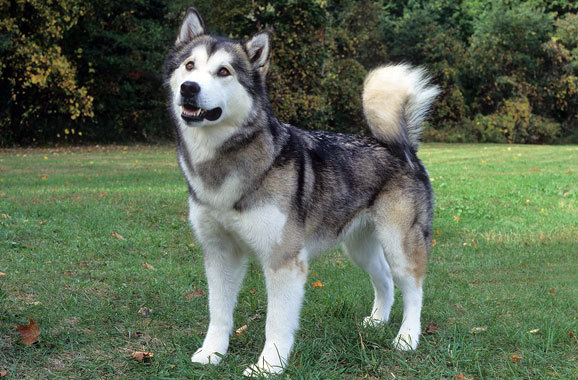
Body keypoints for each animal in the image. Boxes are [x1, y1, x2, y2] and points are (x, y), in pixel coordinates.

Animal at [162, 7, 436, 376]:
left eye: (223, 71)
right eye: (190, 66)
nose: (189, 88)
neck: (225, 163)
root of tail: (401, 147)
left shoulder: (284, 262)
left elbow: (275, 323)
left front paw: (269, 366)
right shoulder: (219, 253)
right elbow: (218, 312)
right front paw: (212, 353)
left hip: (399, 245)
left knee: (414, 289)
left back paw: (407, 337)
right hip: (359, 248)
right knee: (385, 280)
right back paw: (378, 321)